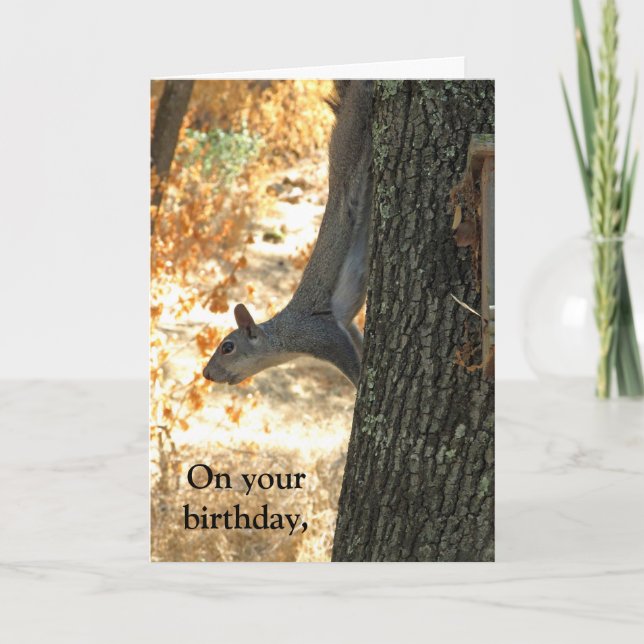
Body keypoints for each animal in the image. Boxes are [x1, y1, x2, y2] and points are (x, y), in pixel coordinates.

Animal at [203, 80, 374, 388]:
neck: (283, 336)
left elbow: (349, 362)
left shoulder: (319, 334)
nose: (206, 373)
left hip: (355, 135)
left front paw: (359, 390)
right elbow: (356, 335)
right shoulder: (344, 325)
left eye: (227, 347)